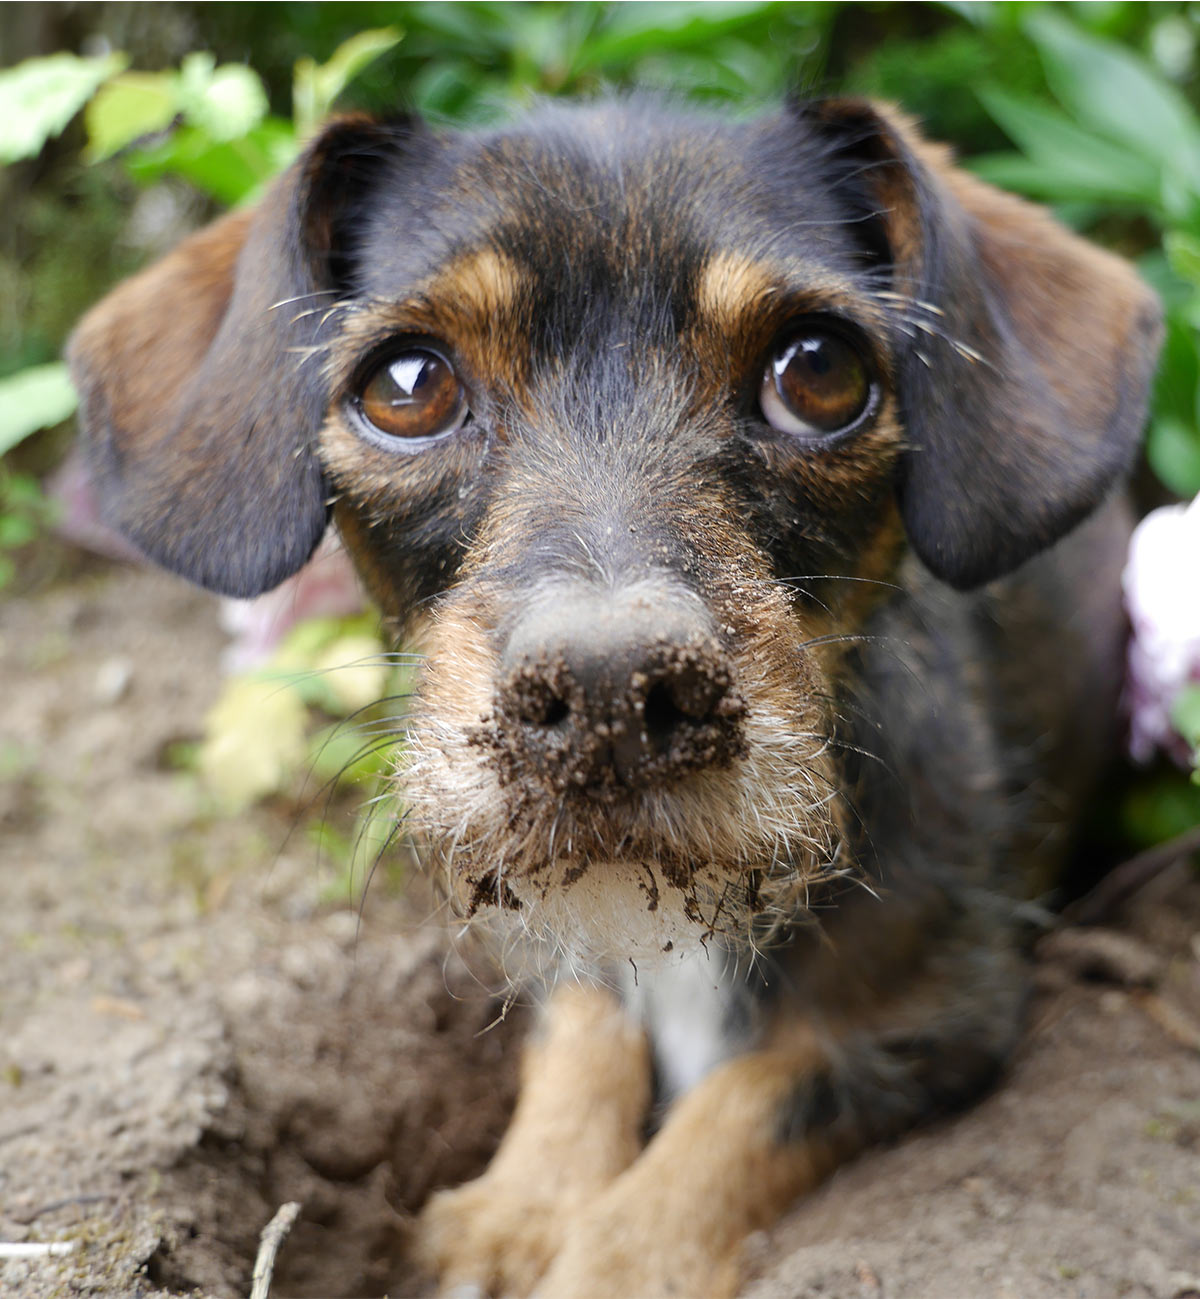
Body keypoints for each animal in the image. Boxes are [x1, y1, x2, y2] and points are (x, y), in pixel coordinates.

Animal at [70, 96, 1158, 1293]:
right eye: (408, 386)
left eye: (820, 371)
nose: (610, 698)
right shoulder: (557, 930)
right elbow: (585, 1029)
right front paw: (516, 1212)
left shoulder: (935, 1016)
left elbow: (741, 1103)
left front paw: (614, 1255)